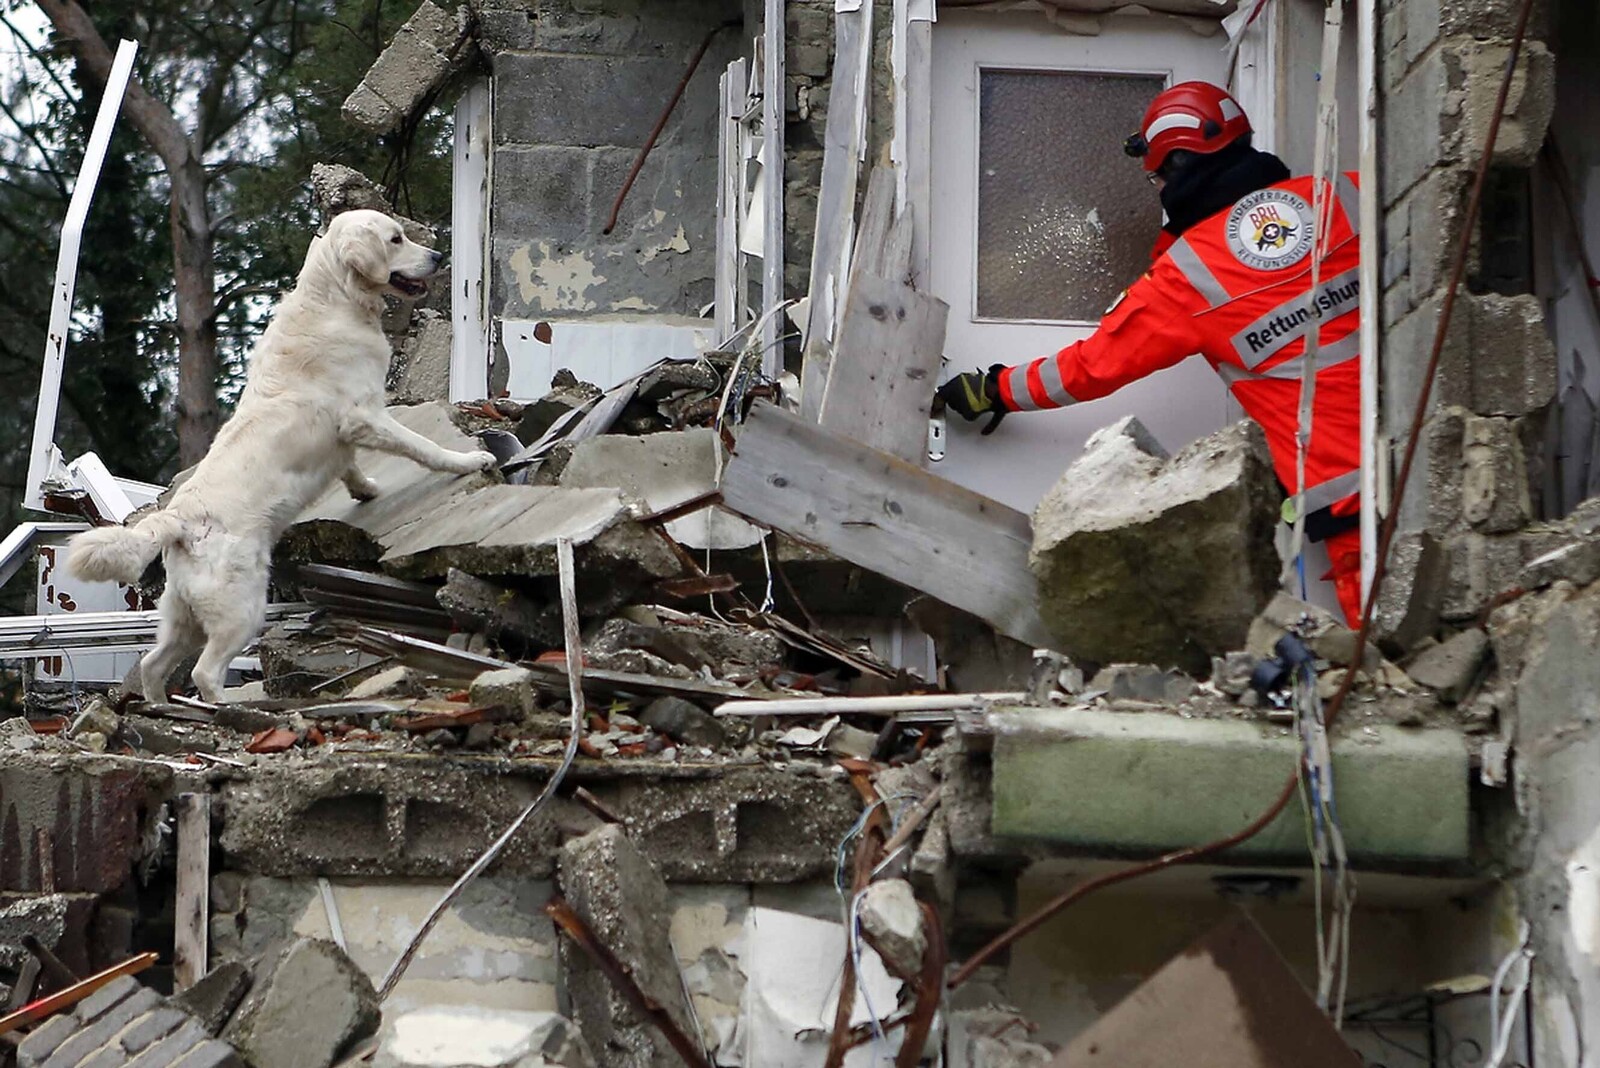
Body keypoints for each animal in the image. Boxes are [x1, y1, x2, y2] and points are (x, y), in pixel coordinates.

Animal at [68, 209, 496, 709]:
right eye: (396, 239)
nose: (438, 256)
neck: (334, 299)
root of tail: (179, 519)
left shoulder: (346, 435)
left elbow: (350, 464)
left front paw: (365, 489)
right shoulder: (365, 415)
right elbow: (422, 447)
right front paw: (467, 461)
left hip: (183, 614)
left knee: (155, 665)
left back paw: (162, 708)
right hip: (242, 608)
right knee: (204, 671)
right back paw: (231, 707)